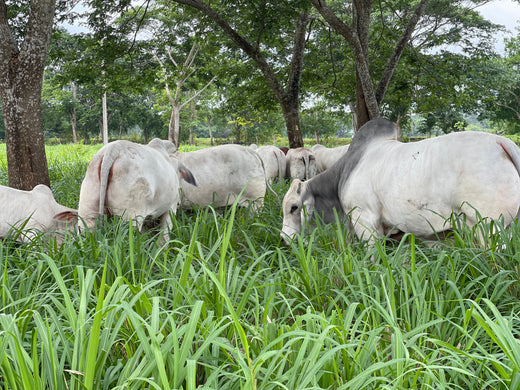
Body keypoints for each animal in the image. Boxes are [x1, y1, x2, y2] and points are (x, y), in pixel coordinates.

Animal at [282, 118, 520, 244]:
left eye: (293, 207)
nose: (285, 238)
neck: (344, 174)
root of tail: (502, 142)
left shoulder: (365, 222)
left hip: (490, 228)